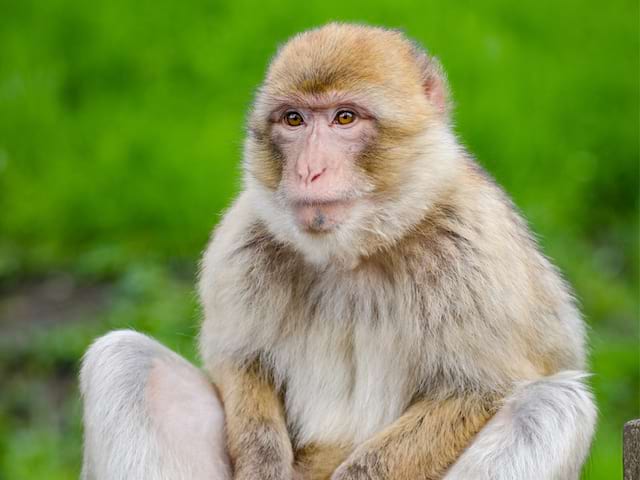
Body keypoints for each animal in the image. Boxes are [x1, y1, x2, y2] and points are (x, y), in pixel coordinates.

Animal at [80, 22, 596, 480]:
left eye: (344, 118)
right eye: (294, 119)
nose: (309, 169)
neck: (356, 253)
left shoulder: (472, 251)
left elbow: (482, 390)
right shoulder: (242, 242)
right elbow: (239, 361)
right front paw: (263, 466)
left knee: (551, 404)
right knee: (124, 358)